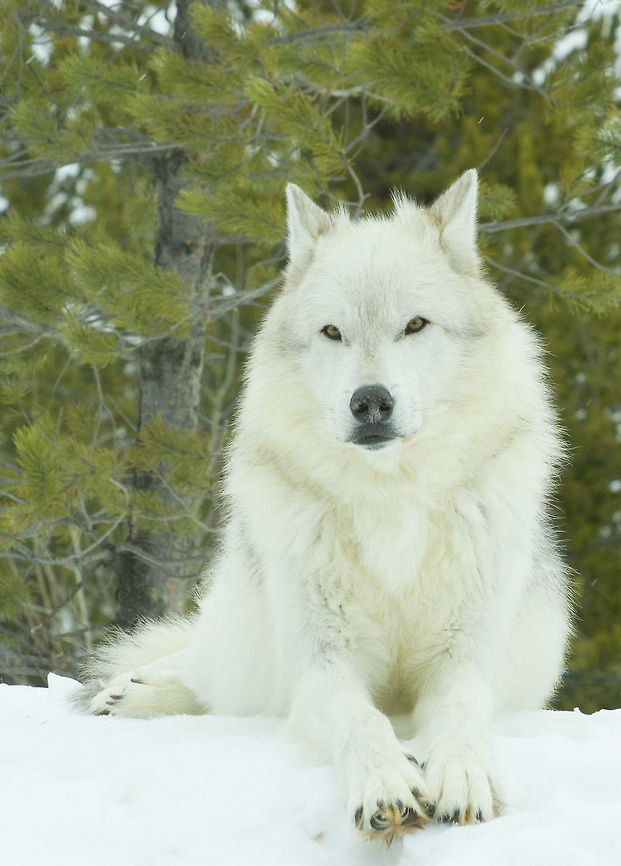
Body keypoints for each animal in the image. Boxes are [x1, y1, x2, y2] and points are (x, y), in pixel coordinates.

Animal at [79, 171, 571, 843]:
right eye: (333, 332)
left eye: (415, 325)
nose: (370, 402)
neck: (391, 502)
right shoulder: (322, 664)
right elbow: (360, 722)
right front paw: (388, 785)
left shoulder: (464, 661)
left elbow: (462, 714)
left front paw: (463, 778)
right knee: (212, 672)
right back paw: (130, 691)